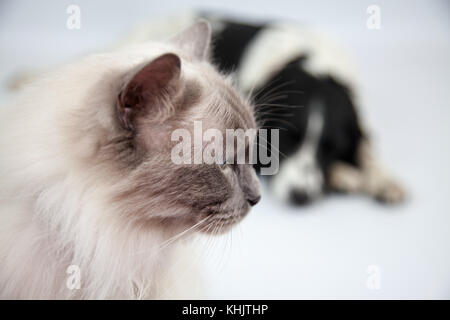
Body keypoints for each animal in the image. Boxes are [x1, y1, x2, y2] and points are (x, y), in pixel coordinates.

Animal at [209, 18, 406, 205]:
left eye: (332, 147)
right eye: (286, 137)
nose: (300, 196)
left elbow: (365, 148)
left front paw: (383, 179)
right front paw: (343, 175)